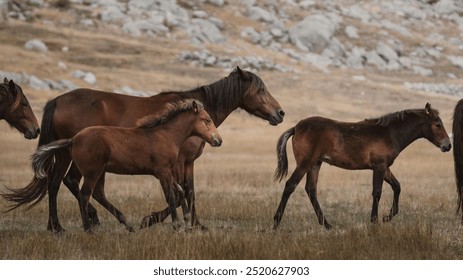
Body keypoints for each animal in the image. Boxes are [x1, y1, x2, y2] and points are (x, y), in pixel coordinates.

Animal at [31, 100, 223, 232]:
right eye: (207, 120)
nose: (218, 140)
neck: (166, 135)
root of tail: (73, 140)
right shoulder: (162, 172)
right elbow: (170, 196)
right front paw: (176, 226)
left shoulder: (167, 171)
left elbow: (181, 192)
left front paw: (187, 224)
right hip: (92, 172)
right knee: (84, 195)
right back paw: (89, 229)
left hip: (99, 172)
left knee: (97, 193)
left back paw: (127, 225)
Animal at [274, 103, 452, 230]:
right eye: (437, 124)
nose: (448, 145)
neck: (389, 133)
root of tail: (296, 128)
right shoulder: (379, 167)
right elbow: (377, 192)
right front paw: (374, 220)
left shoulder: (385, 168)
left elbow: (397, 187)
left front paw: (387, 217)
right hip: (305, 163)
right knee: (290, 185)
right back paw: (276, 223)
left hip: (315, 164)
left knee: (311, 190)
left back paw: (327, 224)